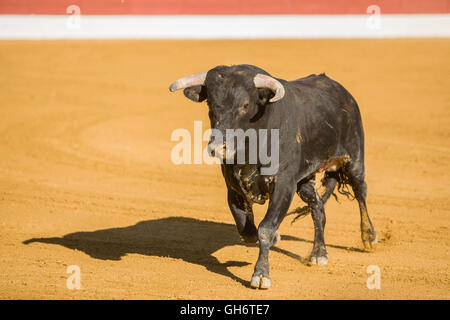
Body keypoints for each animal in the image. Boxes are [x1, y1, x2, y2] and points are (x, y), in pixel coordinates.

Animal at [169, 63, 376, 288]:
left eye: (245, 104)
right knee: (318, 208)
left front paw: (261, 275)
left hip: (354, 159)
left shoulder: (283, 186)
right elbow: (247, 231)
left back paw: (369, 237)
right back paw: (319, 253)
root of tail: (340, 90)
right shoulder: (234, 189)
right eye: (210, 104)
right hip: (304, 181)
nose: (219, 148)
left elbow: (265, 228)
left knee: (361, 192)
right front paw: (275, 238)